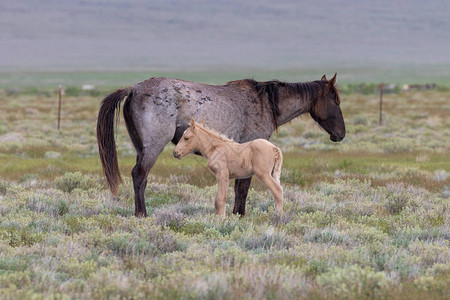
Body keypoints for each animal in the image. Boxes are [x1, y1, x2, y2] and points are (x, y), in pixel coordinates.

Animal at [96, 73, 346, 217]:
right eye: (335, 100)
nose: (341, 134)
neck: (265, 103)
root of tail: (134, 89)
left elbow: (238, 187)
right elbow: (243, 187)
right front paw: (239, 215)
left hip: (141, 148)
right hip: (153, 146)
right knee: (139, 175)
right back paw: (142, 214)